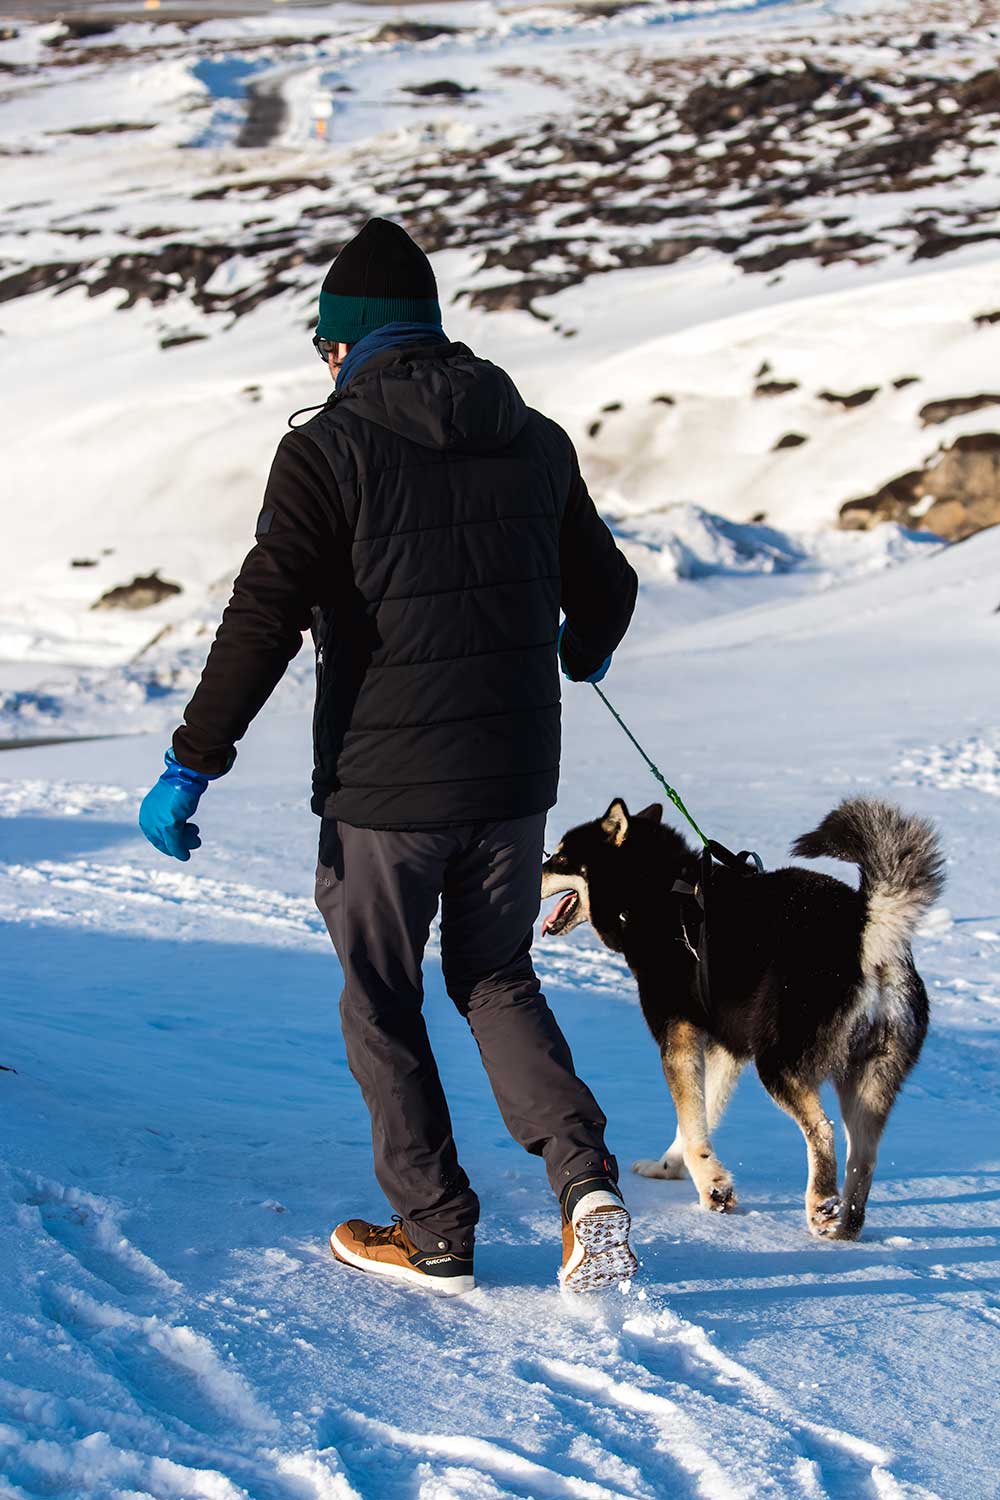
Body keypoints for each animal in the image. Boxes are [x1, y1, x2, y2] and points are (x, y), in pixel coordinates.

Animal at [542, 798, 941, 1242]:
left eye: (560, 857)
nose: (534, 871)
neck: (657, 893)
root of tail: (865, 931)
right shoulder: (726, 1046)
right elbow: (700, 1113)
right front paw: (669, 1168)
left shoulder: (678, 1034)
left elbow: (692, 1118)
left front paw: (712, 1188)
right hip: (869, 1081)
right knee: (865, 1157)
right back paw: (845, 1228)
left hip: (779, 1063)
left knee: (822, 1130)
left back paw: (820, 1206)